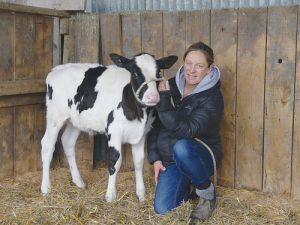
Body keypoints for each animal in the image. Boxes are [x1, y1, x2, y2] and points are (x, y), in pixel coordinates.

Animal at [40, 52, 177, 202]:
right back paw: (45, 188)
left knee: (67, 142)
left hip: (75, 120)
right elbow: (114, 161)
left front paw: (141, 194)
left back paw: (79, 182)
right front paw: (110, 194)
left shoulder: (141, 133)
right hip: (55, 117)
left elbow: (139, 161)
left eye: (158, 72)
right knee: (47, 145)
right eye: (135, 73)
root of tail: (55, 70)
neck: (139, 113)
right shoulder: (114, 130)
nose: (152, 97)